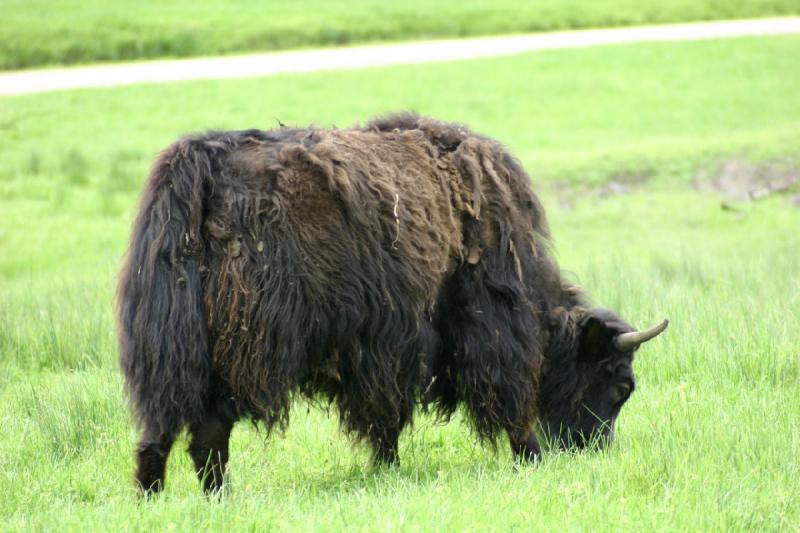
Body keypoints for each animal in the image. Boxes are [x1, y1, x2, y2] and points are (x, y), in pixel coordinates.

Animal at [117, 113, 668, 494]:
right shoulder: (473, 327)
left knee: (163, 432)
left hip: (170, 347)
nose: (593, 451)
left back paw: (162, 500)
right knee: (208, 433)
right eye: (619, 385)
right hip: (240, 348)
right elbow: (504, 396)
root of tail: (200, 166)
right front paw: (527, 457)